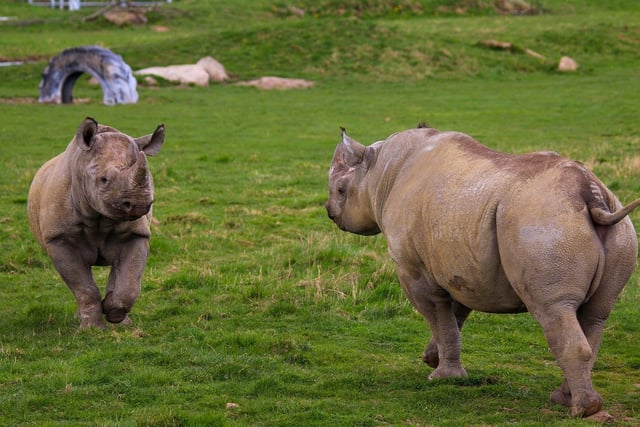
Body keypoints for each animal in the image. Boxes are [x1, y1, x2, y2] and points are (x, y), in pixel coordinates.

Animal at [28, 118, 164, 330]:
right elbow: (84, 287)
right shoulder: (58, 238)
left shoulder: (137, 234)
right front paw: (91, 329)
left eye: (149, 178)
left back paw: (122, 321)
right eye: (104, 179)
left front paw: (113, 311)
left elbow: (130, 280)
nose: (139, 203)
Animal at [328, 124, 636, 418]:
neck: (379, 172)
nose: (330, 211)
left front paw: (443, 377)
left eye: (341, 190)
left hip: (544, 225)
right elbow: (453, 319)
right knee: (594, 315)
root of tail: (589, 192)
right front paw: (433, 359)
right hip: (616, 231)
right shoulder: (462, 269)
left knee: (554, 309)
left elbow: (438, 316)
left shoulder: (412, 269)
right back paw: (565, 400)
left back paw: (581, 409)